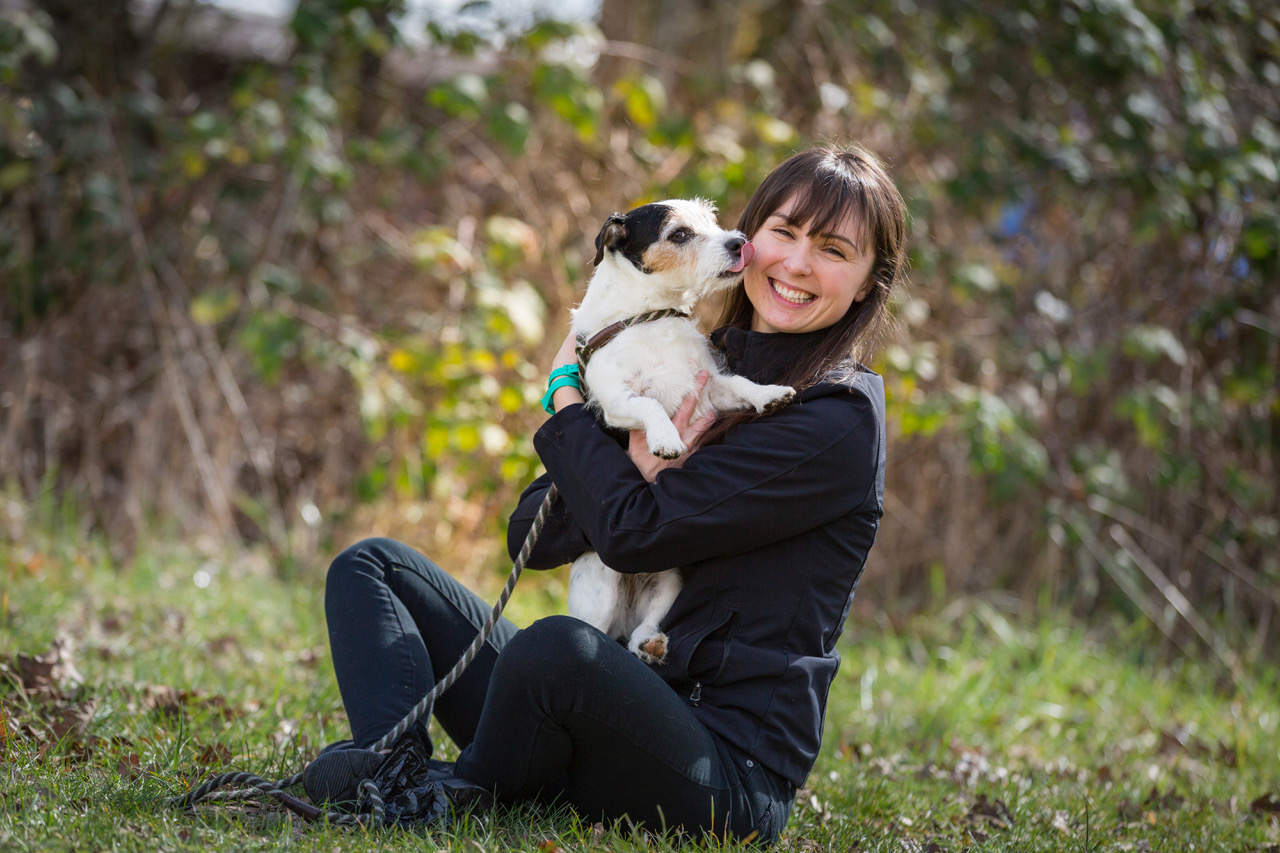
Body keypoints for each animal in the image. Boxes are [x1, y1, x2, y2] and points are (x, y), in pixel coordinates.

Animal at [568, 201, 788, 666]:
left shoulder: (709, 386)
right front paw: (667, 440)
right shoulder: (615, 398)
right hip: (598, 588)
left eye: (711, 222)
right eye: (680, 234)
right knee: (591, 628)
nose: (740, 242)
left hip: (667, 586)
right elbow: (650, 405)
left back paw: (650, 644)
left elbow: (741, 383)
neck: (650, 317)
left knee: (643, 630)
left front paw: (770, 395)